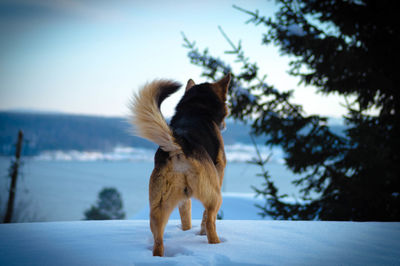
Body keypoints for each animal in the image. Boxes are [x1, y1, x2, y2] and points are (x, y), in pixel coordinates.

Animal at [130, 72, 231, 256]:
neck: (196, 108)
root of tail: (180, 146)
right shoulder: (219, 175)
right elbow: (204, 218)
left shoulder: (183, 199)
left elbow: (186, 217)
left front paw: (186, 231)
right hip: (215, 197)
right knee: (210, 222)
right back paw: (216, 245)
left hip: (158, 208)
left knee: (158, 240)